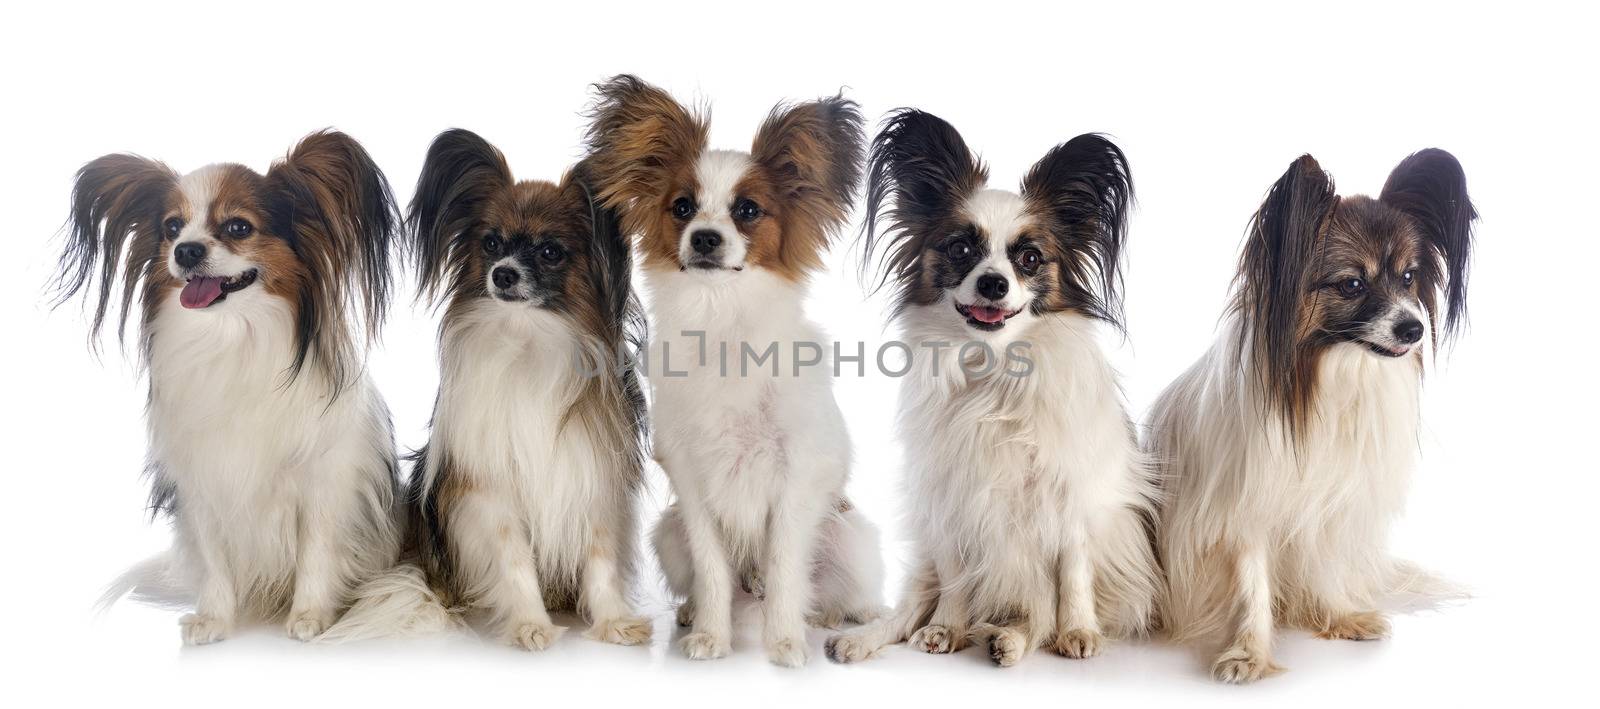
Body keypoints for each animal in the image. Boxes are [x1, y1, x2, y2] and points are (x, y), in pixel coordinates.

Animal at [59, 132, 403, 643]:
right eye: (172, 227)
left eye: (239, 227)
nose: (186, 250)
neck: (234, 335)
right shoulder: (204, 480)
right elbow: (214, 559)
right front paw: (215, 620)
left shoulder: (324, 482)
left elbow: (316, 551)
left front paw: (309, 616)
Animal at [825, 109, 1164, 665]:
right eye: (961, 249)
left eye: (1029, 259)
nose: (993, 283)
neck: (996, 372)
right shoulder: (952, 501)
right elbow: (956, 579)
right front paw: (945, 627)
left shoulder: (1071, 496)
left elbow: (1072, 573)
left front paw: (1079, 630)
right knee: (910, 609)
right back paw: (865, 638)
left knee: (1034, 614)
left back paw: (1007, 638)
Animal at [1152, 149, 1472, 681]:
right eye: (1352, 284)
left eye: (1409, 277)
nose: (1413, 329)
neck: (1330, 375)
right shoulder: (1245, 512)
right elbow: (1253, 584)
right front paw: (1249, 653)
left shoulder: (1329, 504)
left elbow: (1325, 568)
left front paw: (1339, 617)